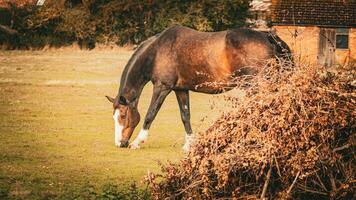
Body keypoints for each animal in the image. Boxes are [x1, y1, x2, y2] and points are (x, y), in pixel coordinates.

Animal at [105, 24, 292, 150]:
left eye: (122, 115)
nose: (120, 143)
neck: (157, 51)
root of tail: (268, 36)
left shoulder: (162, 88)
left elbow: (150, 114)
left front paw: (138, 141)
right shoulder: (180, 89)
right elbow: (185, 116)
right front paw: (189, 145)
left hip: (255, 85)